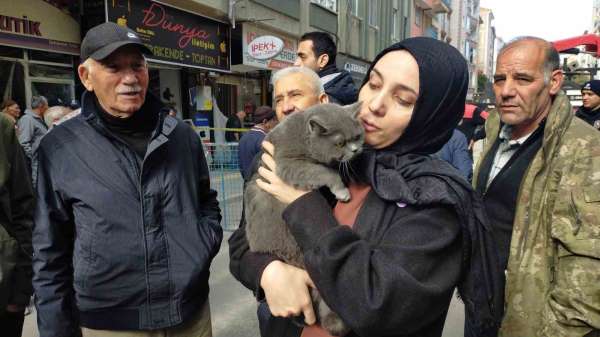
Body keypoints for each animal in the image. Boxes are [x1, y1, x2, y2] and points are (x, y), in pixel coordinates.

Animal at [245, 101, 366, 334]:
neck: (303, 136)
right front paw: (342, 191)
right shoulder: (287, 163)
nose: (357, 150)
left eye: (357, 136)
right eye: (340, 143)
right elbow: (326, 172)